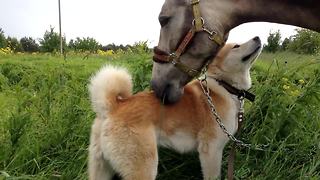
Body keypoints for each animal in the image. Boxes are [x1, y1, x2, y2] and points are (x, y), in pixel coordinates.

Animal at [89, 35, 262, 179]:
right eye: (236, 46)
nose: (257, 37)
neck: (224, 85)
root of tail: (114, 106)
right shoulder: (211, 150)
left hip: (100, 167)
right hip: (144, 166)